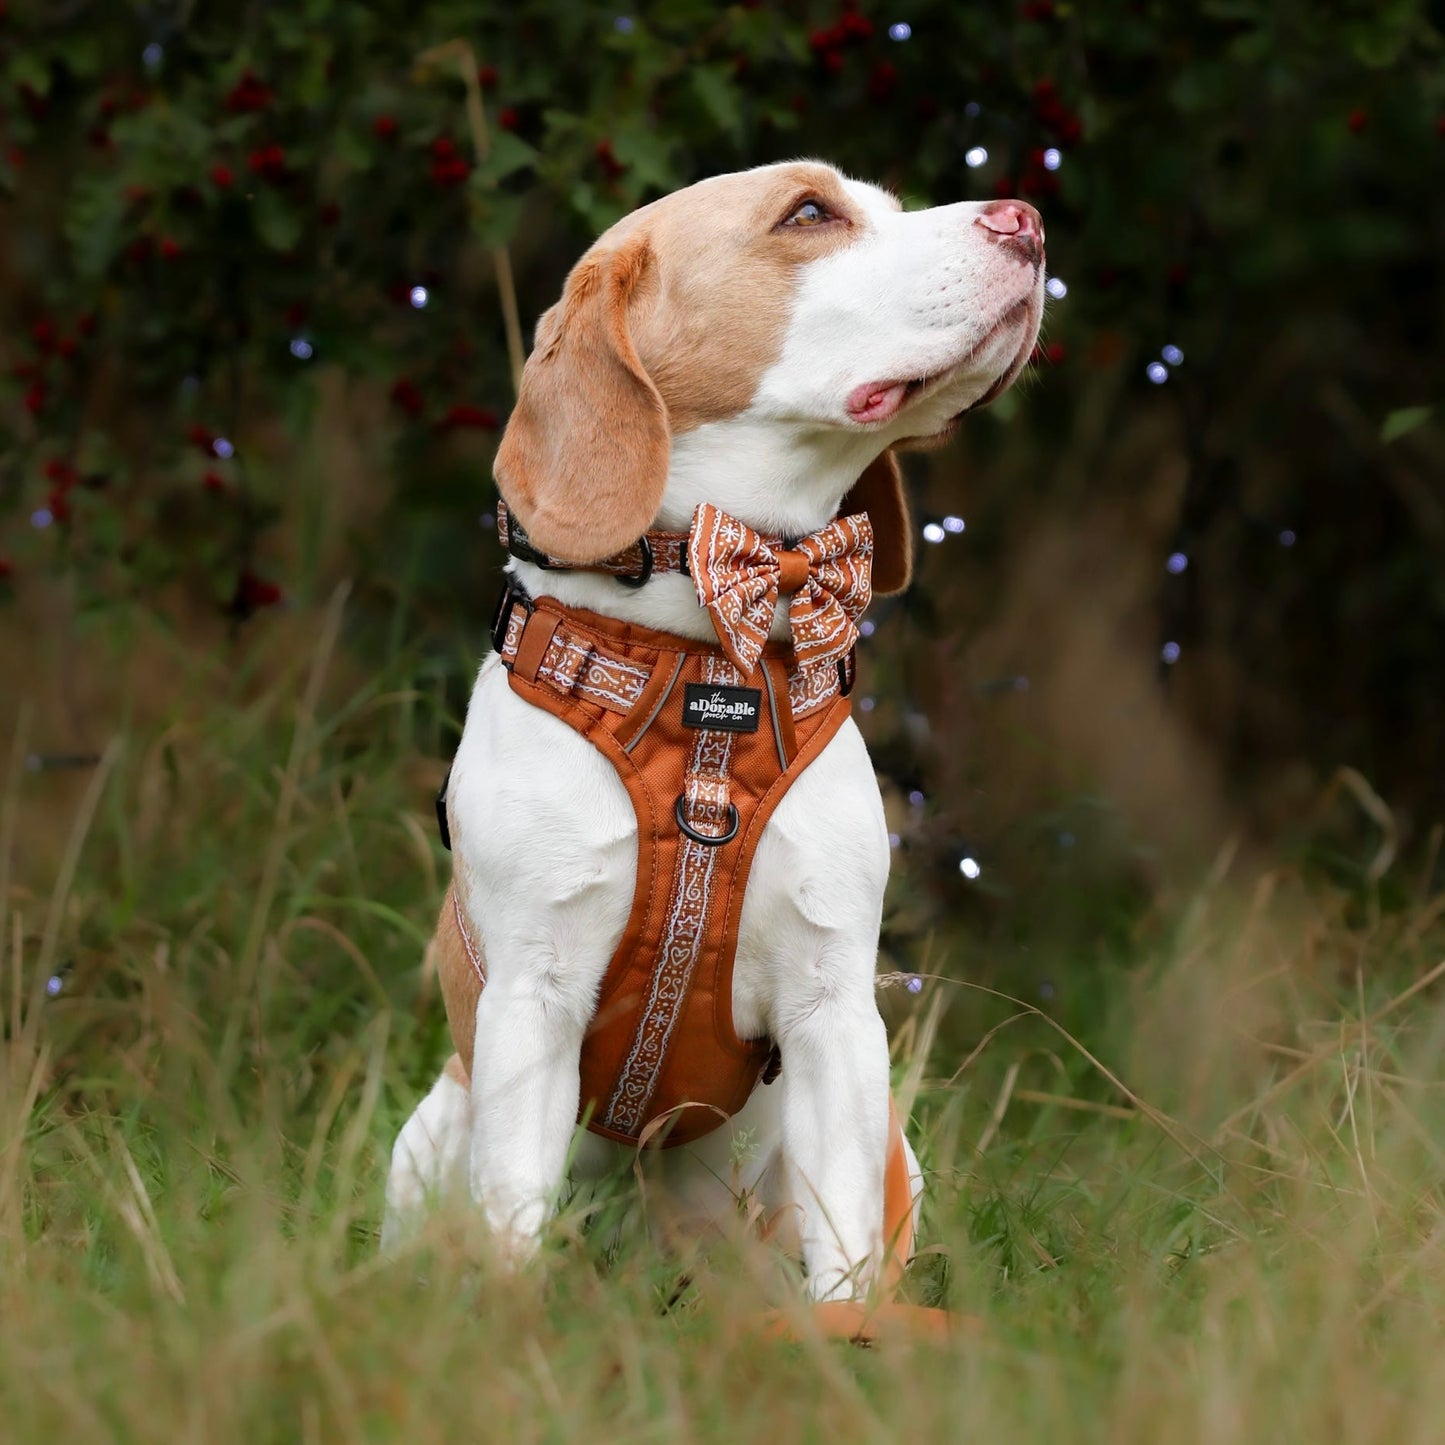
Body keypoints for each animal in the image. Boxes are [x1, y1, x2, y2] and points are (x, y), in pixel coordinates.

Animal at [381, 161, 1040, 1312]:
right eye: (810, 214)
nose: (1029, 218)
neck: (703, 673)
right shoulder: (531, 1002)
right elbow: (512, 1215)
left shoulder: (834, 1012)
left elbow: (842, 1254)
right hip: (424, 1134)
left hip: (892, 1155)